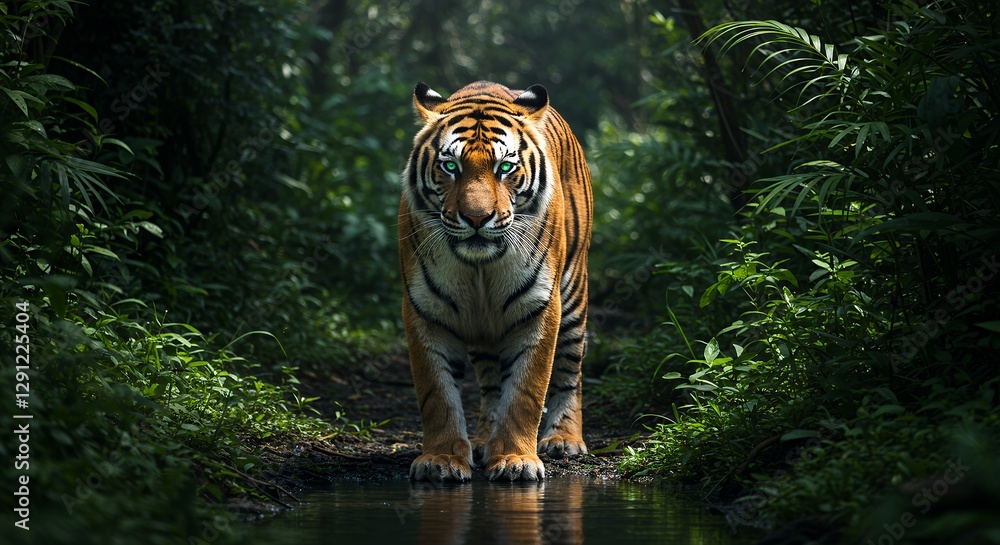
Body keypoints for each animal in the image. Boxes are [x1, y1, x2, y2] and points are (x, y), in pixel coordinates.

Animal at [398, 80, 593, 482]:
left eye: (505, 167)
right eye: (450, 166)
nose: (476, 218)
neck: (479, 268)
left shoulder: (539, 308)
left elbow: (526, 392)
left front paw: (516, 460)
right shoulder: (425, 310)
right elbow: (437, 393)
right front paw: (441, 460)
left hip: (573, 296)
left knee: (570, 371)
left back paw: (564, 439)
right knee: (490, 383)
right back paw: (483, 439)